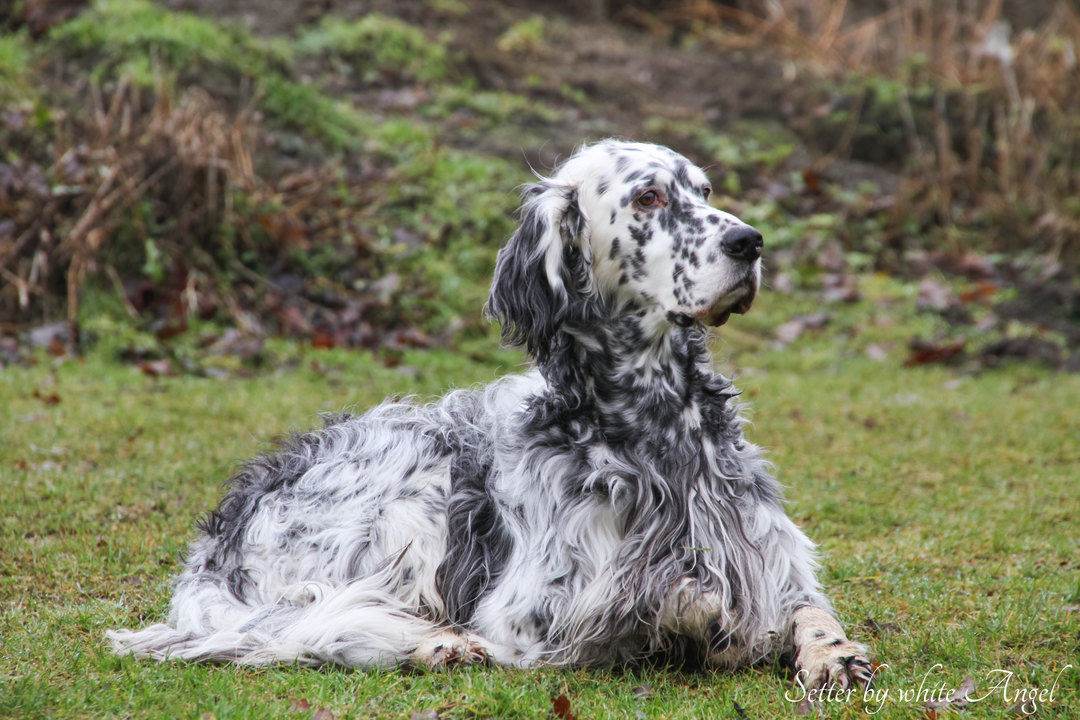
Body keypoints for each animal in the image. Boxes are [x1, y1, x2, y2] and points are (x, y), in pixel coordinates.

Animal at [107, 138, 868, 690]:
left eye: (705, 192)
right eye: (649, 197)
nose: (750, 242)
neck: (658, 432)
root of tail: (223, 532)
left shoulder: (771, 553)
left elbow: (806, 608)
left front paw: (833, 653)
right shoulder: (535, 610)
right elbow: (669, 603)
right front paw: (701, 612)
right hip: (415, 486)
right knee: (319, 622)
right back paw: (436, 644)